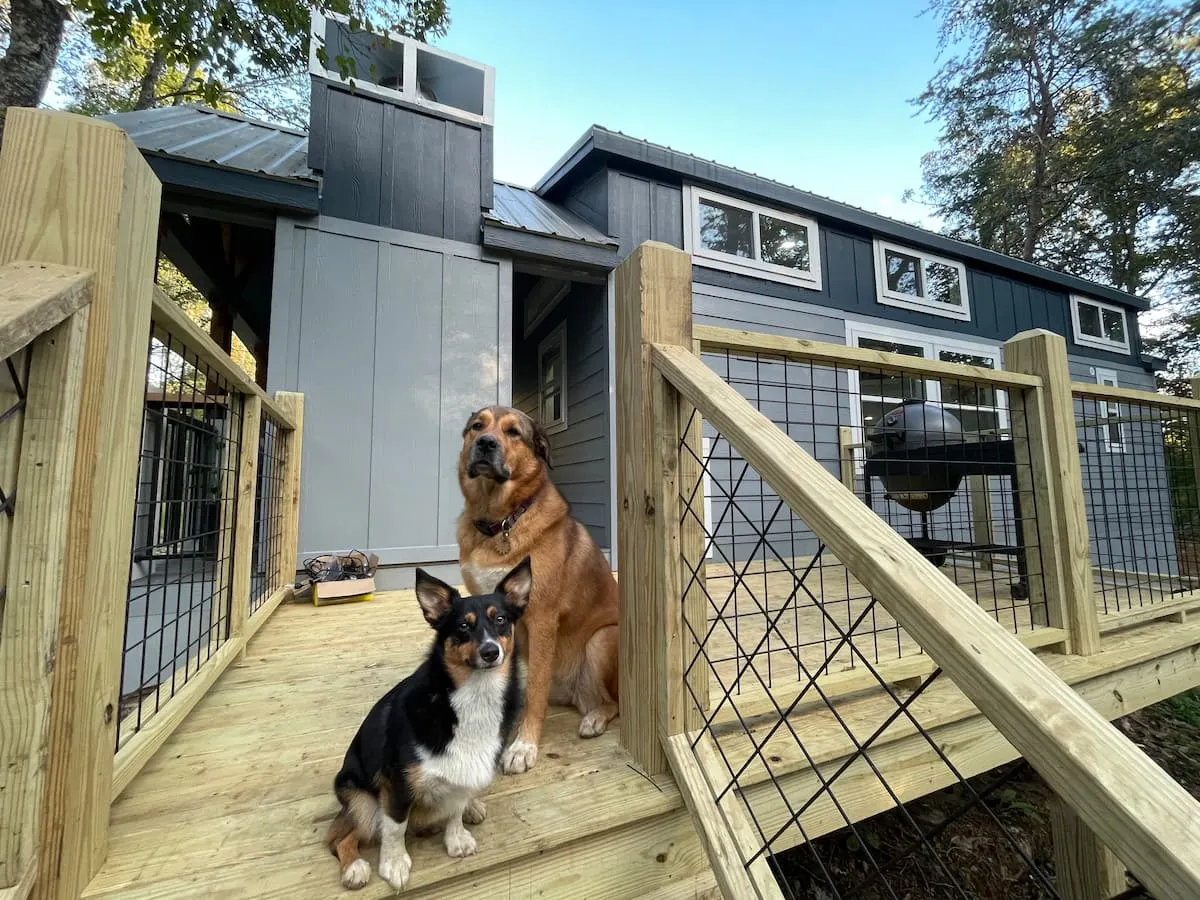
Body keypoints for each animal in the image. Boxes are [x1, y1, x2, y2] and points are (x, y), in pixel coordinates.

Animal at [321, 561, 528, 892]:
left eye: (500, 620)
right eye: (463, 626)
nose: (490, 651)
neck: (473, 698)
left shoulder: (465, 771)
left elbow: (455, 806)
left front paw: (456, 837)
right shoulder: (396, 783)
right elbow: (395, 827)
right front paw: (394, 864)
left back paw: (472, 807)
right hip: (361, 801)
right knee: (339, 837)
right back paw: (354, 867)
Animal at [456, 408, 619, 777]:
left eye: (514, 432)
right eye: (477, 426)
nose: (485, 443)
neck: (500, 522)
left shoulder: (541, 619)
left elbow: (535, 692)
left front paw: (523, 745)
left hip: (602, 639)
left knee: (613, 702)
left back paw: (595, 718)